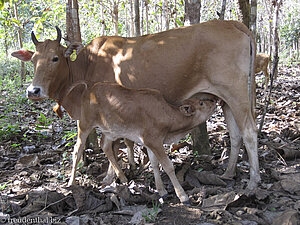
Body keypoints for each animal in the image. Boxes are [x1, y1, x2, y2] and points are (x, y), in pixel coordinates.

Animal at [63, 81, 217, 204]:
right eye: (201, 103)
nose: (214, 101)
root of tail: (88, 90)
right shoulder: (153, 140)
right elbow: (168, 166)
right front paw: (182, 196)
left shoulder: (150, 142)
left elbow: (154, 164)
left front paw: (161, 190)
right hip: (84, 124)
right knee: (77, 150)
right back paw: (71, 182)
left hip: (110, 131)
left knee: (105, 146)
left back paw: (123, 177)